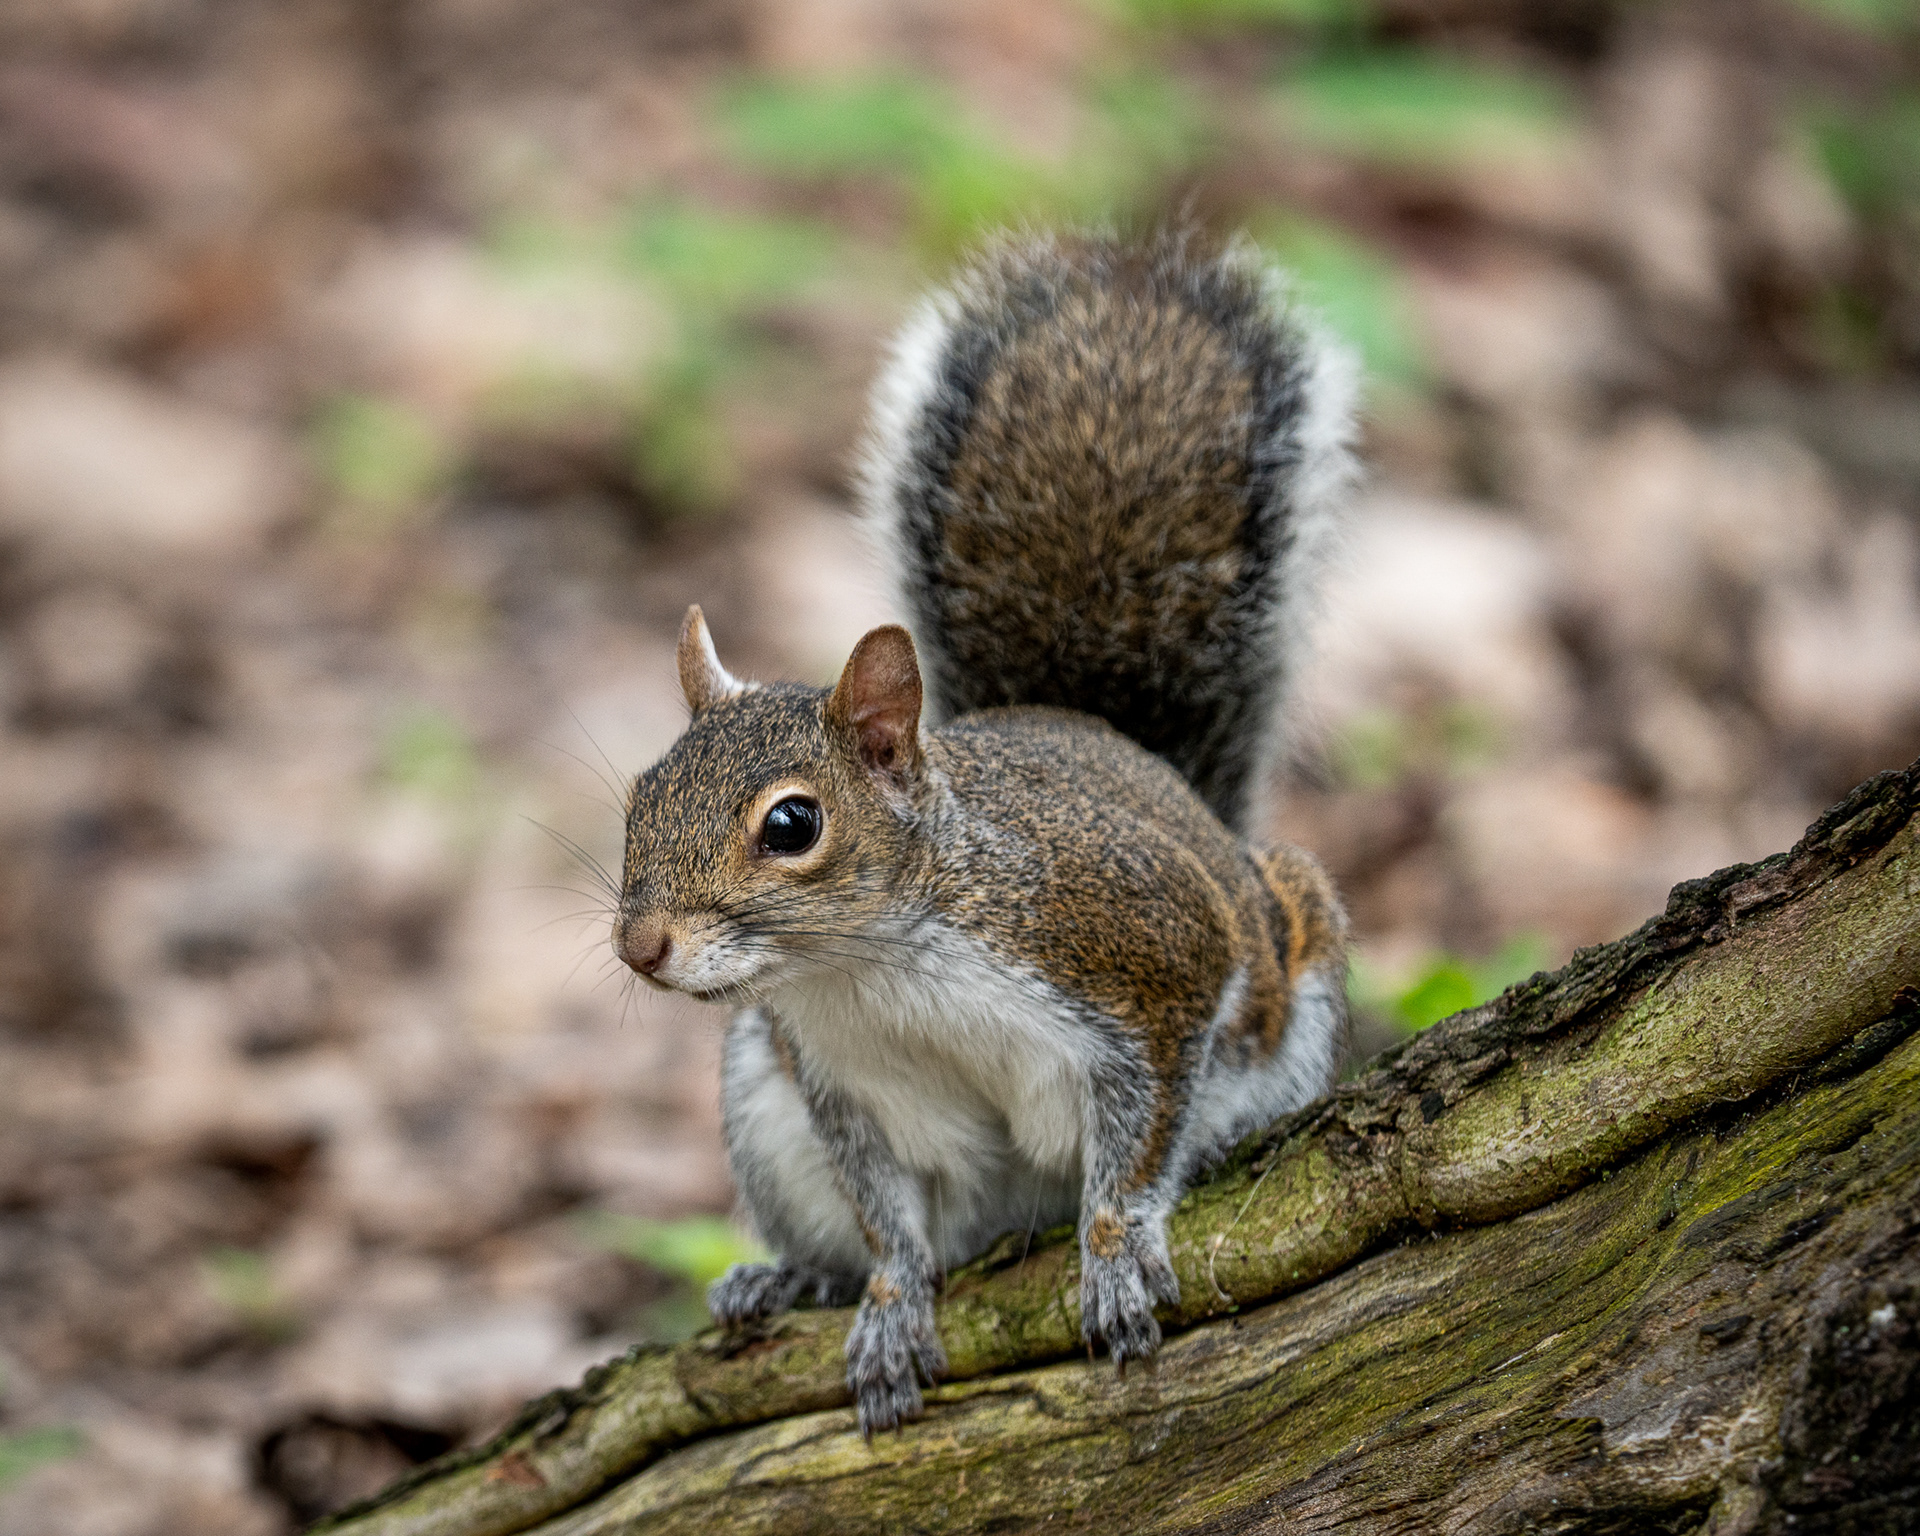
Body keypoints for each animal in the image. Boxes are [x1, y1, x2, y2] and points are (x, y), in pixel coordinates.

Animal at [613, 230, 1357, 1435]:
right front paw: (887, 1301)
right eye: (639, 797)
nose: (640, 948)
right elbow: (889, 1219)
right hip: (764, 1107)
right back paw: (787, 1276)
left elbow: (1143, 1135)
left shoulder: (1145, 960)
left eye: (792, 824)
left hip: (1295, 941)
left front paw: (1115, 1247)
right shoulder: (845, 1089)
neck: (874, 967)